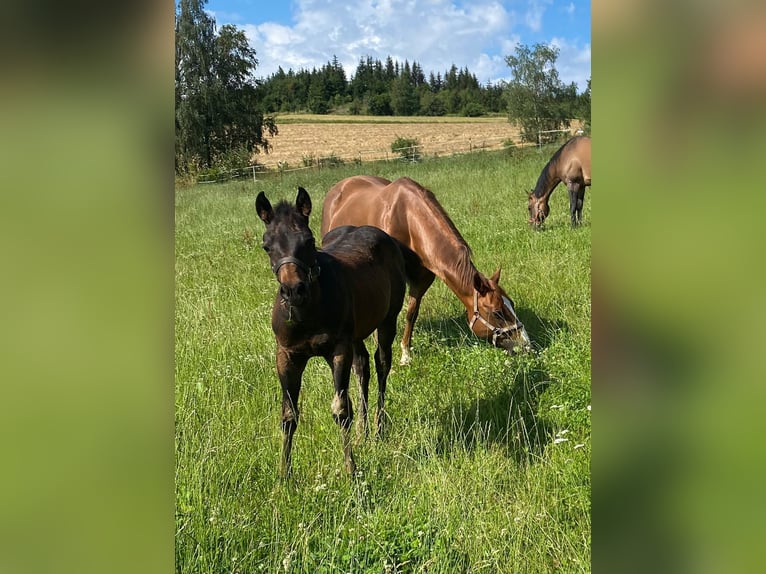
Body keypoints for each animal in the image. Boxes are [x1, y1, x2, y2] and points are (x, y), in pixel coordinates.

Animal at [256, 188, 414, 476]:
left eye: (308, 241)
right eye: (266, 246)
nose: (294, 290)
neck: (308, 312)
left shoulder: (338, 349)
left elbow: (341, 410)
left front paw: (351, 469)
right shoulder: (286, 355)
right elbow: (288, 414)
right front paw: (284, 474)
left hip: (387, 321)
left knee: (382, 364)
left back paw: (378, 429)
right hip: (357, 333)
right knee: (363, 367)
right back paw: (363, 432)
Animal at [320, 176, 532, 364]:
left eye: (511, 304)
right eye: (497, 313)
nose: (526, 345)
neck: (408, 220)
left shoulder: (421, 281)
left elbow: (411, 314)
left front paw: (406, 354)